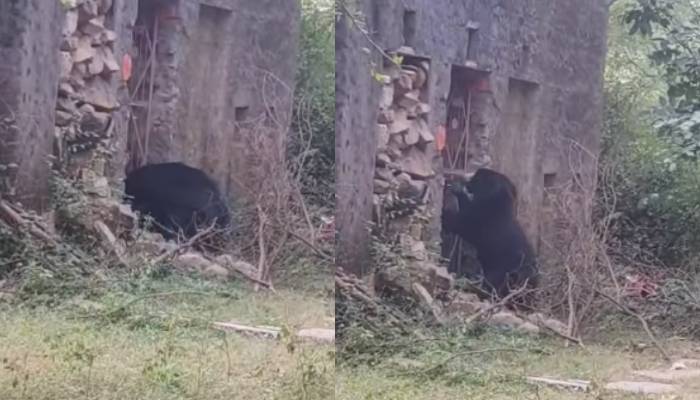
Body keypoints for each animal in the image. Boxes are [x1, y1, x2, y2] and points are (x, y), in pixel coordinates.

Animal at [440, 168, 540, 304]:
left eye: (477, 176)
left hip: (504, 269)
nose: (465, 177)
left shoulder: (480, 218)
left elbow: (460, 221)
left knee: (493, 283)